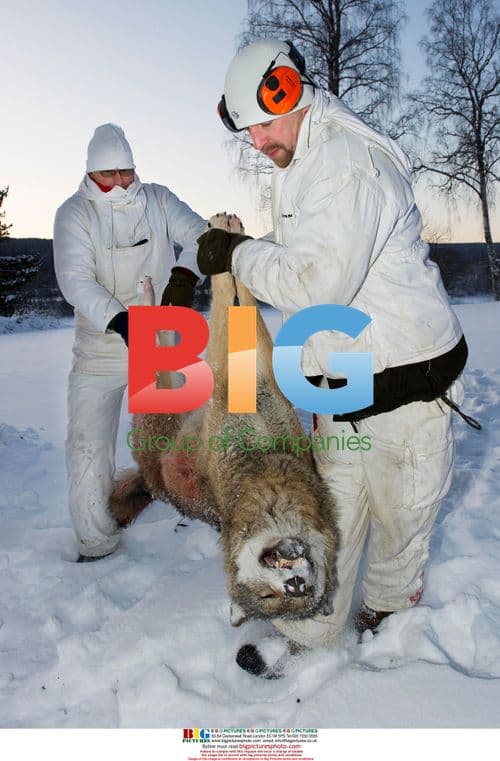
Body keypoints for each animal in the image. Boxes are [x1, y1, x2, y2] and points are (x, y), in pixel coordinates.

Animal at [109, 217, 338, 630]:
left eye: (303, 596)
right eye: (268, 595)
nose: (295, 584)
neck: (265, 467)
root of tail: (150, 477)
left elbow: (236, 304)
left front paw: (229, 244)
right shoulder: (235, 377)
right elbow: (233, 300)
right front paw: (226, 240)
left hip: (165, 397)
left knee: (159, 348)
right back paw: (153, 293)